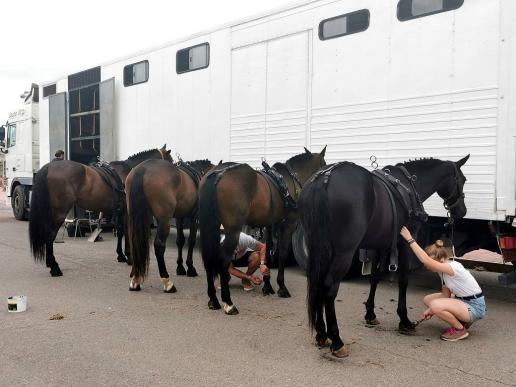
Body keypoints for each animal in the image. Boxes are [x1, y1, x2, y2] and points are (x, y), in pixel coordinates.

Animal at [28, 146, 173, 276]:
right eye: (170, 161)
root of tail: (48, 167)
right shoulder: (126, 211)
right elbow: (127, 232)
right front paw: (129, 257)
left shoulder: (119, 211)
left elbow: (120, 231)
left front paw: (121, 255)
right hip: (59, 212)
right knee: (50, 235)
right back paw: (54, 267)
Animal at [127, 159, 216, 292]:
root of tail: (143, 169)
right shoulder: (194, 217)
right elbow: (191, 240)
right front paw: (190, 267)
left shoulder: (179, 218)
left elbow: (180, 240)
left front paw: (180, 267)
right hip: (164, 220)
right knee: (159, 246)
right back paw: (167, 282)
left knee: (134, 243)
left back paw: (135, 280)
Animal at [199, 148, 326, 316]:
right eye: (325, 166)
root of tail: (217, 173)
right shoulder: (288, 225)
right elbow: (282, 253)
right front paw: (281, 287)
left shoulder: (269, 225)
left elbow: (268, 252)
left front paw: (267, 285)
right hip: (233, 229)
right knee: (223, 260)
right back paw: (229, 303)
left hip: (211, 227)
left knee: (209, 259)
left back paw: (213, 300)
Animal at [300, 156, 470, 360]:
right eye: (462, 179)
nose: (462, 211)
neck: (409, 185)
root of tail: (324, 178)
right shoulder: (405, 244)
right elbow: (403, 281)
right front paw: (404, 320)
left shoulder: (379, 246)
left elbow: (375, 278)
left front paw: (370, 314)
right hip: (343, 252)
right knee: (329, 287)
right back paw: (337, 340)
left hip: (320, 248)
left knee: (317, 283)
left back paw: (321, 334)